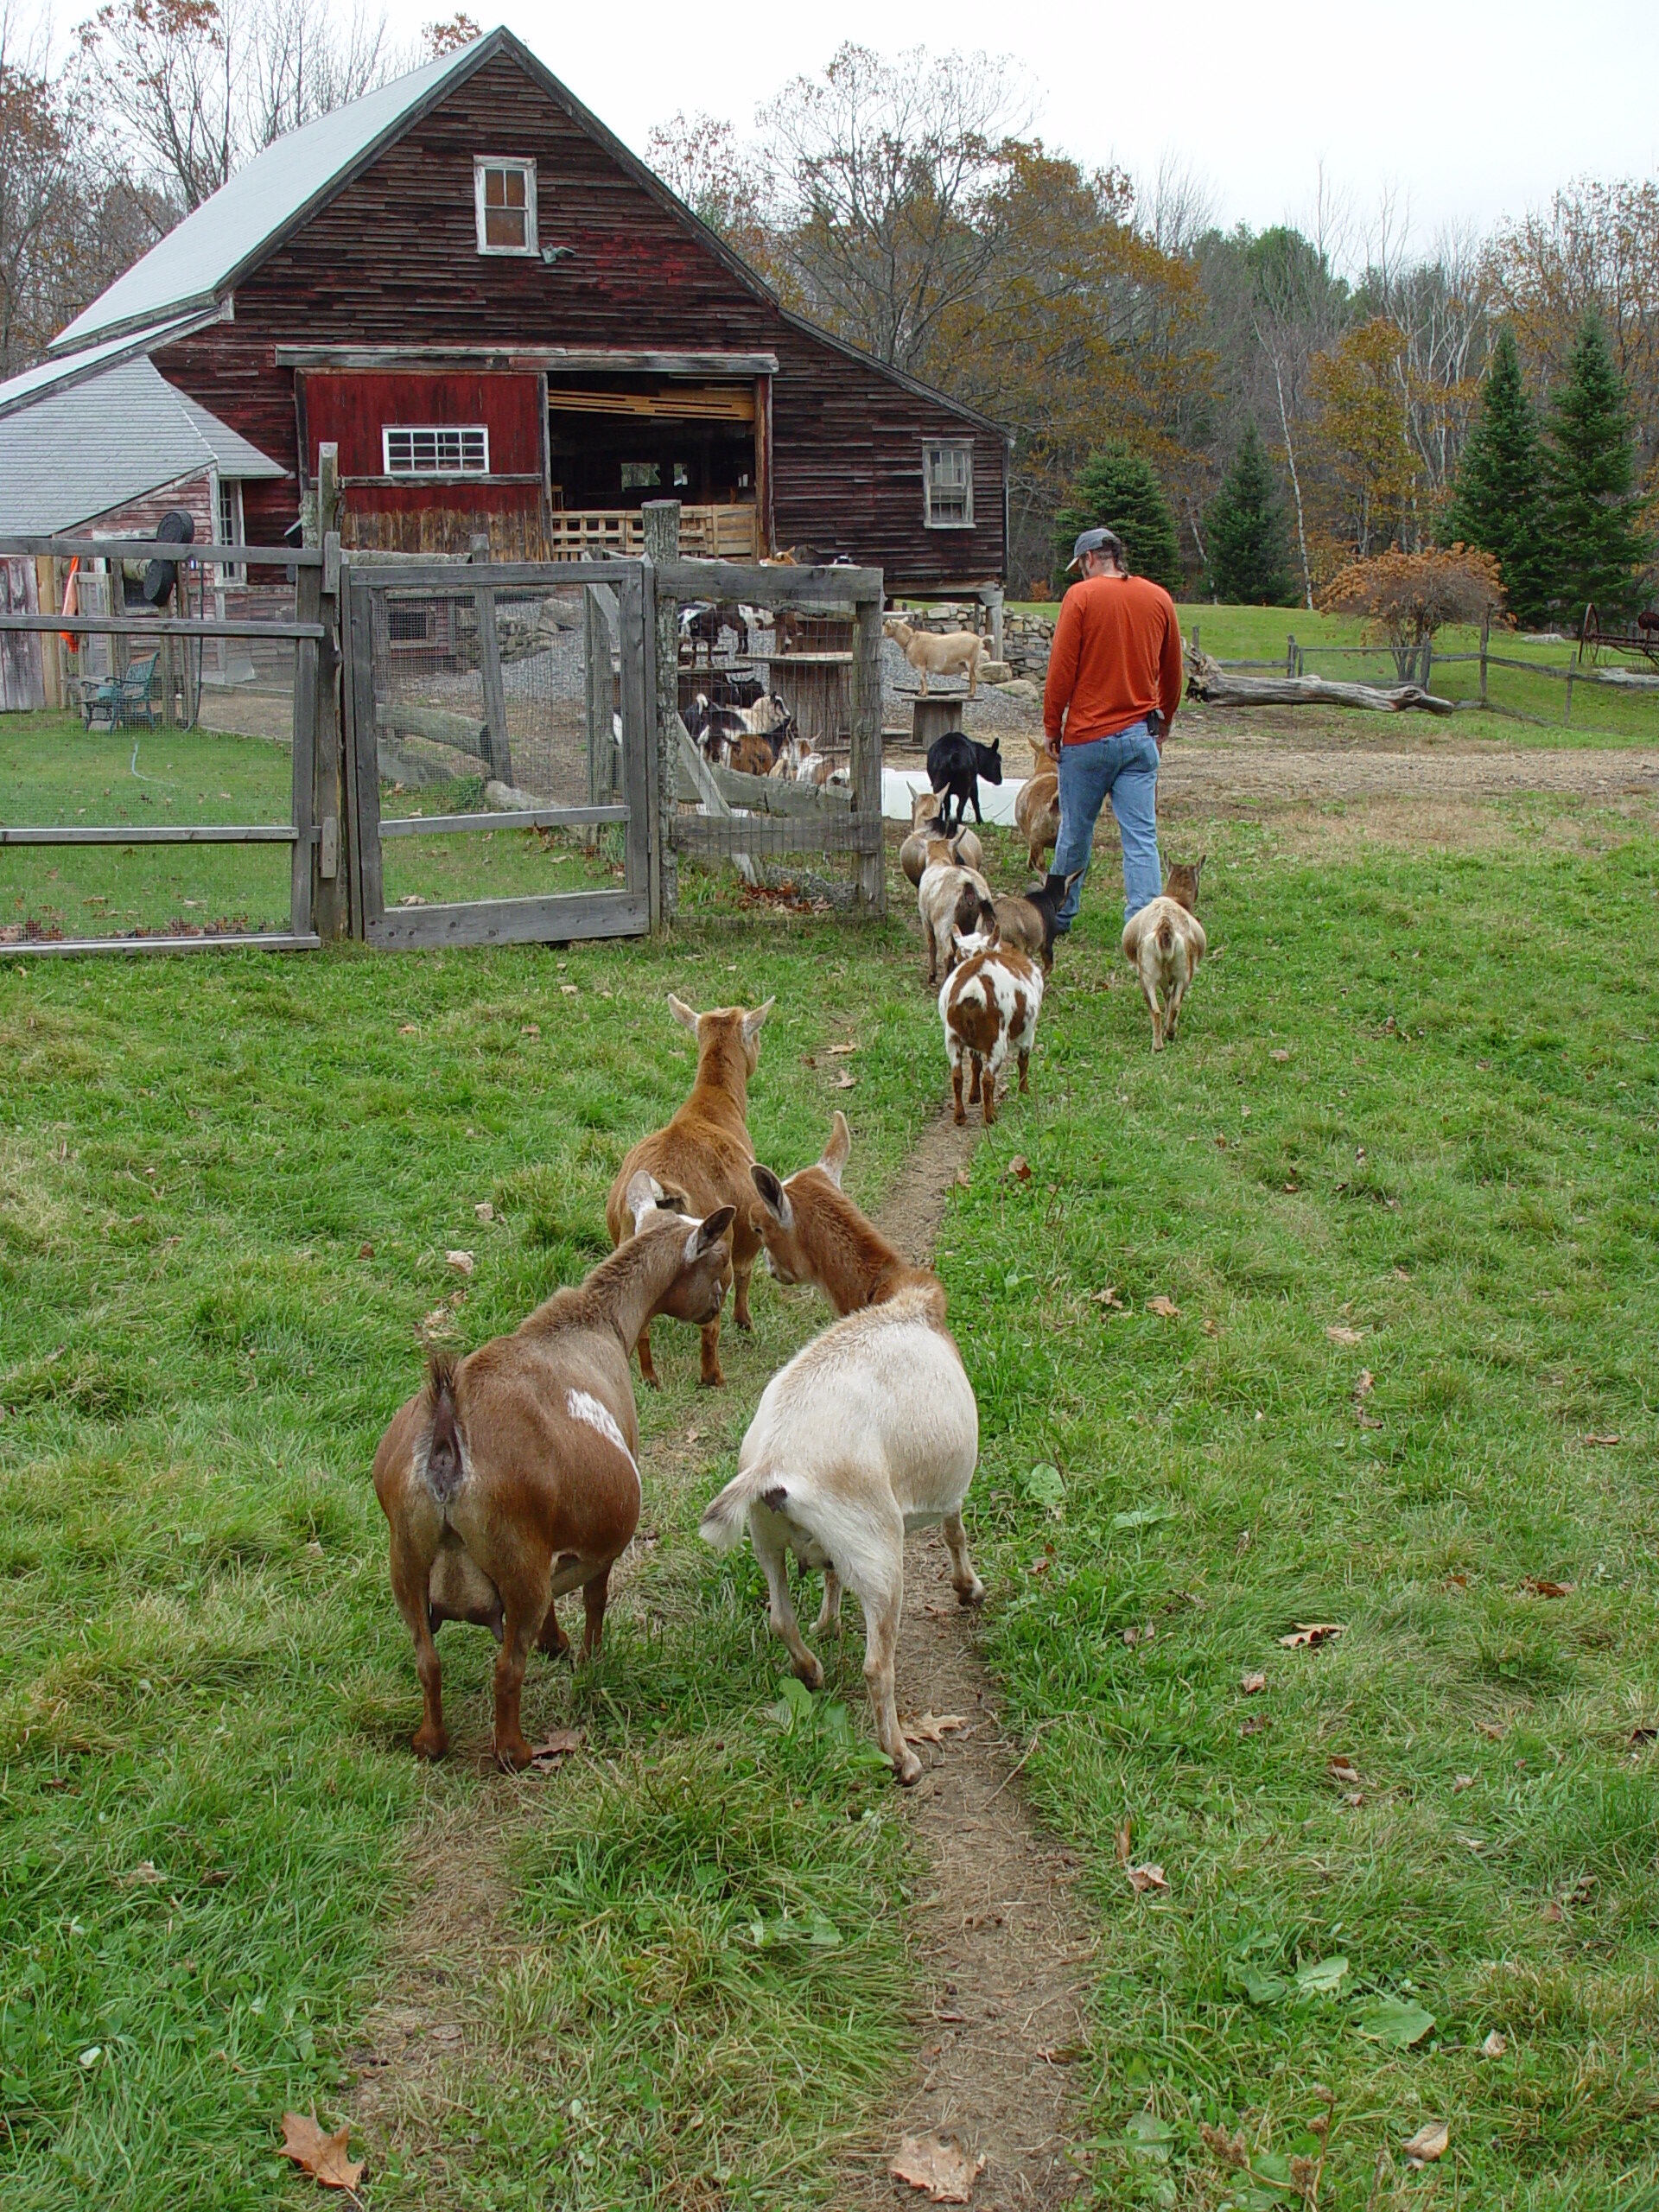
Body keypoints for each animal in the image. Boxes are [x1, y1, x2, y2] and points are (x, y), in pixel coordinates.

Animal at [380, 1185, 743, 1770]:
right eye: (720, 1257)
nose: (716, 1302)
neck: (595, 1320)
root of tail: (447, 1442)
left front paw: (559, 1644)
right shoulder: (601, 1543)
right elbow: (595, 1600)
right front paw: (591, 1658)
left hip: (406, 1562)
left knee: (428, 1661)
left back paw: (431, 1743)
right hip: (515, 1560)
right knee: (507, 1670)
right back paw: (517, 1751)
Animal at [606, 1000, 779, 1380]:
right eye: (757, 1035)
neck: (712, 1108)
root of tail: (660, 1187)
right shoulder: (747, 1227)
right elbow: (746, 1273)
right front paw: (745, 1322)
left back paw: (650, 1379)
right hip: (715, 1249)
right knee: (710, 1323)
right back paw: (712, 1377)